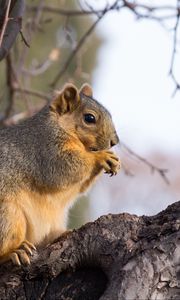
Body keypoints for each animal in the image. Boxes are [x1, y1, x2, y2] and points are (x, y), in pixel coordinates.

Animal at [0, 82, 121, 264]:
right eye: (89, 118)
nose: (115, 142)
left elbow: (81, 187)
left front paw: (114, 162)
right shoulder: (44, 147)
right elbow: (60, 169)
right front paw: (100, 157)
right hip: (7, 213)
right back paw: (14, 251)